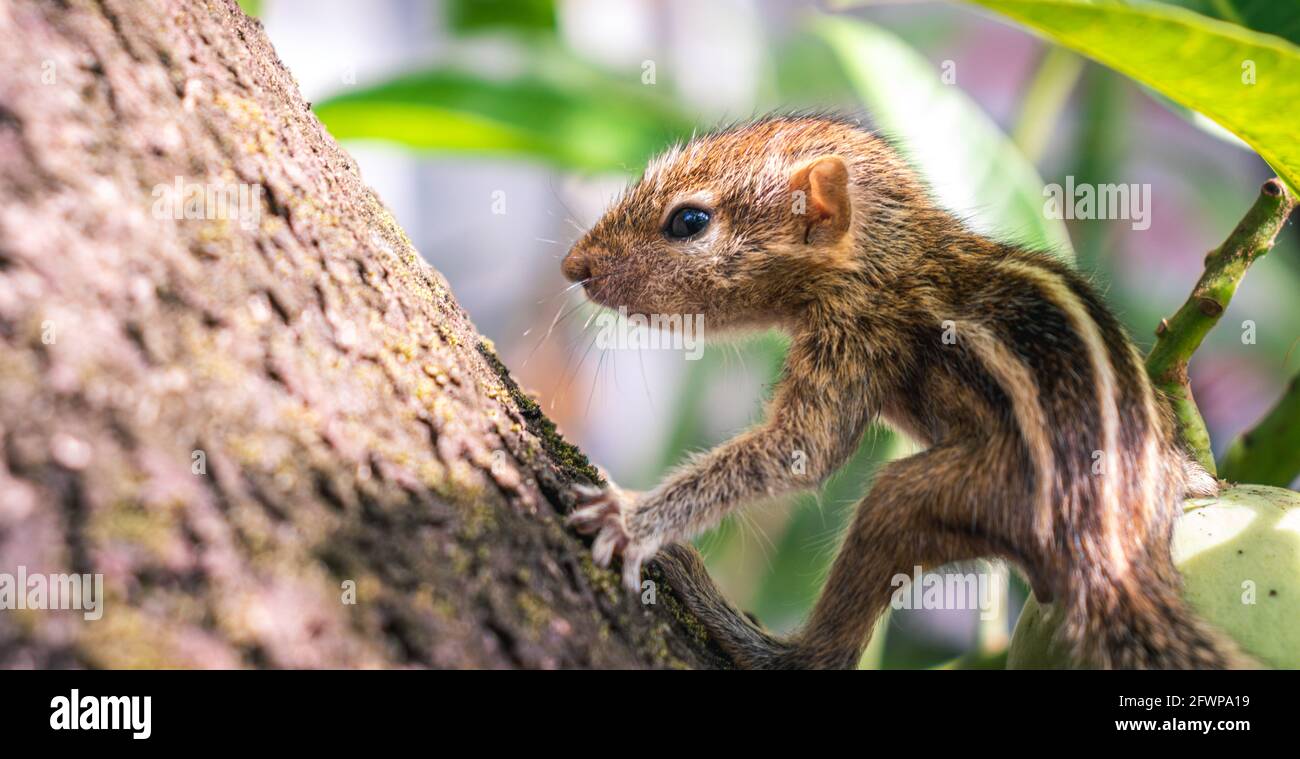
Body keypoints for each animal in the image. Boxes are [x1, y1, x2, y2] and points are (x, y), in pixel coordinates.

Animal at [560, 114, 1254, 669]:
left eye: (689, 221)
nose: (573, 266)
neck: (887, 250)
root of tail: (1110, 551)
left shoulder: (856, 333)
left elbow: (798, 451)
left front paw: (630, 519)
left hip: (931, 495)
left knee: (829, 652)